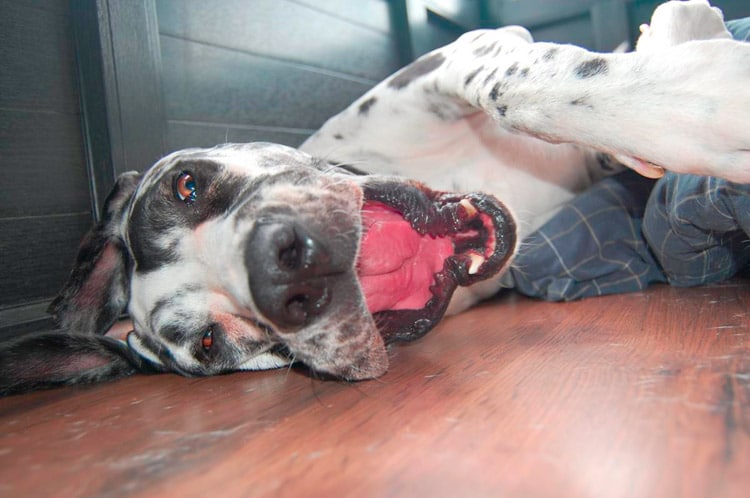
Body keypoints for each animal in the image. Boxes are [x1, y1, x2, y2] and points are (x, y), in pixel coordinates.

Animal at [0, 1, 748, 394]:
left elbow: (525, 87)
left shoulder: (473, 49)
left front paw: (702, 83)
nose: (283, 271)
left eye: (186, 184)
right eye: (212, 345)